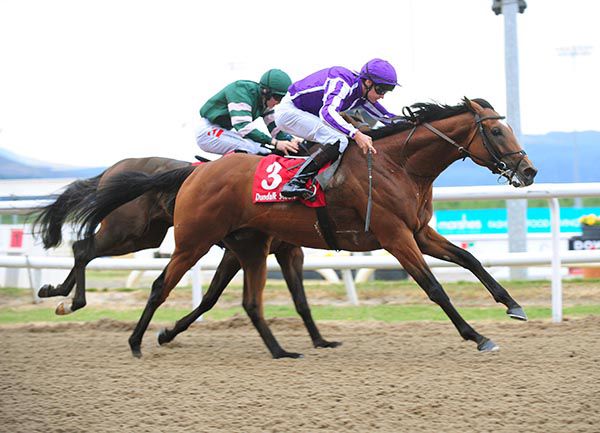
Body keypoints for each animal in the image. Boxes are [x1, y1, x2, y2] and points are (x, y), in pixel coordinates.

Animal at [32, 156, 340, 352]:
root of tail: (113, 169)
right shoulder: (238, 252)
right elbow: (210, 298)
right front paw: (168, 333)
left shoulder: (288, 250)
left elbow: (300, 299)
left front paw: (321, 341)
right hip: (125, 230)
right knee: (82, 249)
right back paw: (72, 300)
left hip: (144, 237)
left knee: (84, 250)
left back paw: (59, 293)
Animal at [76, 98, 540, 358]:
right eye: (496, 130)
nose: (529, 171)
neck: (398, 166)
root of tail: (194, 173)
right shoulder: (394, 237)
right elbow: (435, 287)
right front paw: (477, 335)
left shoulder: (419, 232)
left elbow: (470, 258)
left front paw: (513, 305)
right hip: (190, 241)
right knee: (156, 284)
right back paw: (134, 339)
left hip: (241, 244)